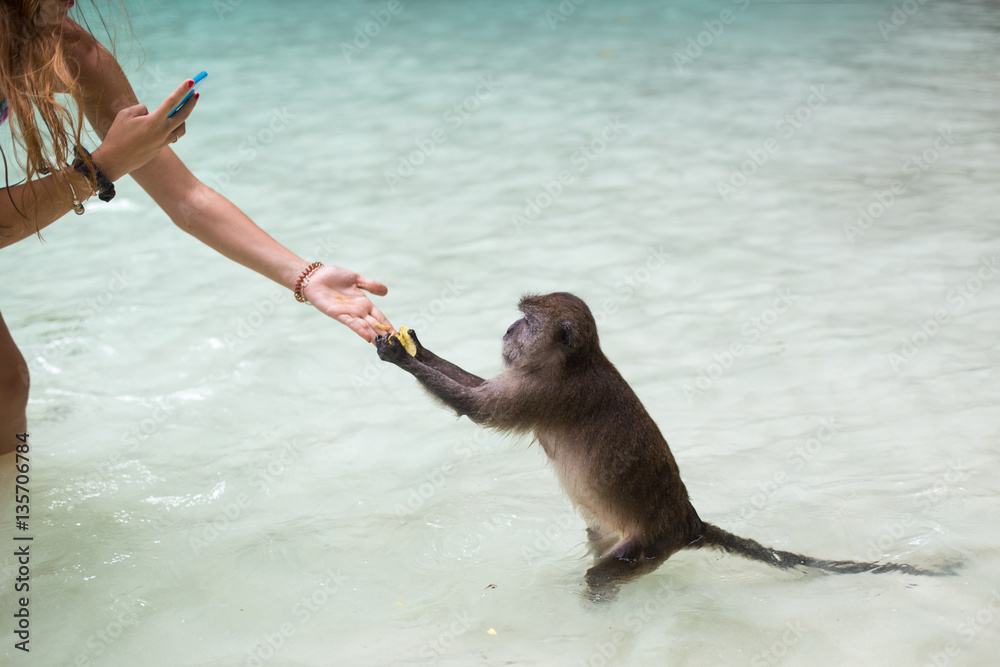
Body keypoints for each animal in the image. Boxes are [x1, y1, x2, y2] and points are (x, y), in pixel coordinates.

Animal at [375, 292, 955, 601]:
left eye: (528, 319)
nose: (508, 327)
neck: (575, 362)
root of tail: (687, 521)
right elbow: (475, 392)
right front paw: (416, 345)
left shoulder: (547, 392)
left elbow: (479, 409)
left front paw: (403, 356)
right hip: (617, 534)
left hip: (647, 548)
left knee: (603, 574)